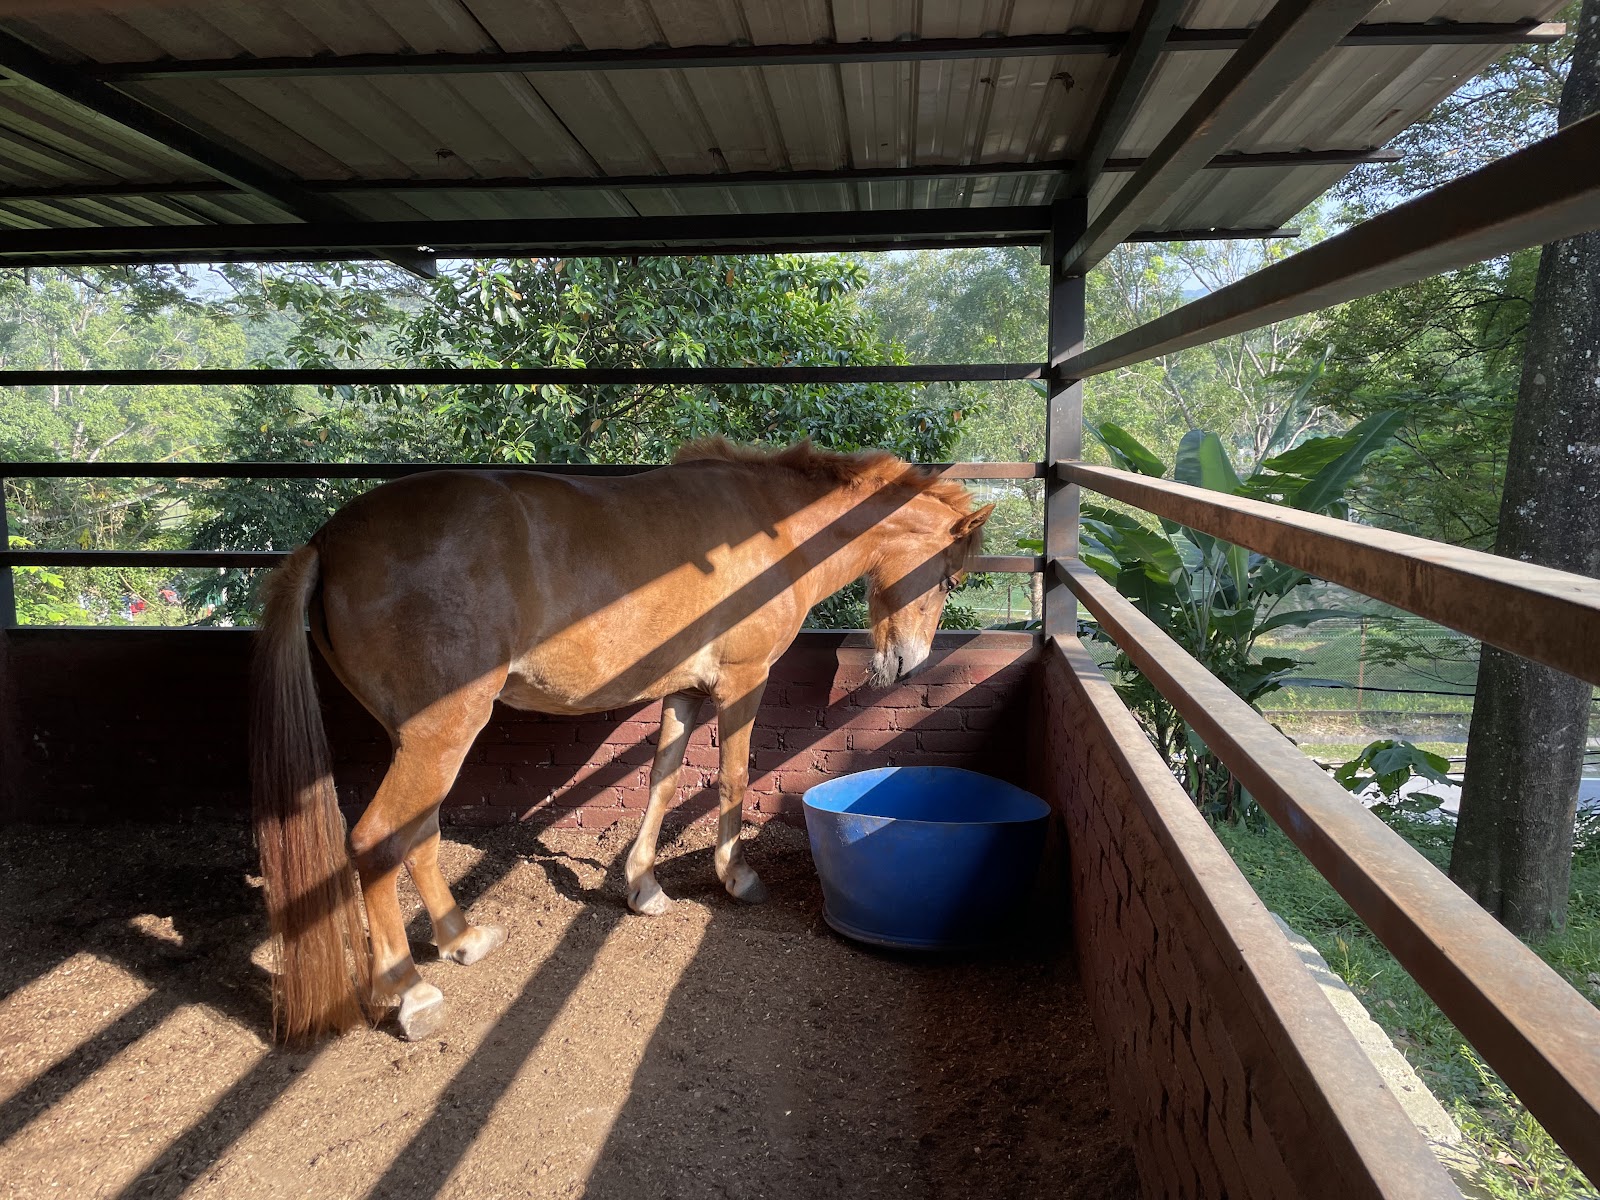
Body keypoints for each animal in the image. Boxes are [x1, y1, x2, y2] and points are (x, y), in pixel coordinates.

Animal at [252, 438, 994, 1042]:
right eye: (948, 577)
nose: (908, 665)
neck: (774, 526)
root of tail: (328, 540)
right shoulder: (744, 681)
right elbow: (732, 778)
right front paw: (737, 876)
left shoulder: (685, 692)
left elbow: (662, 782)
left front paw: (642, 885)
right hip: (441, 734)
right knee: (378, 841)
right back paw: (410, 993)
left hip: (423, 745)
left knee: (421, 834)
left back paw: (462, 937)